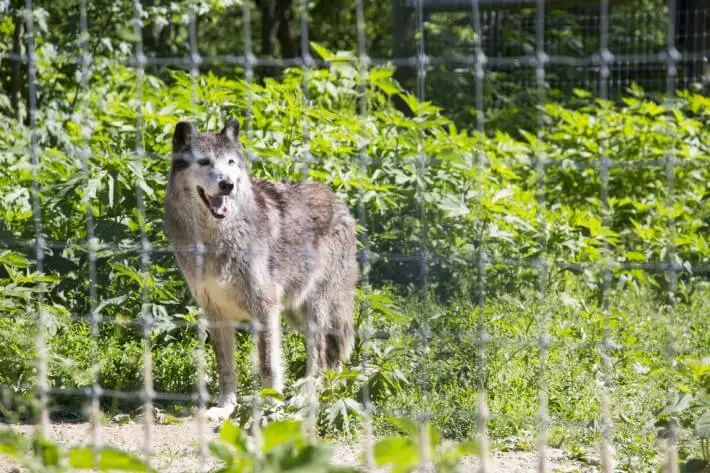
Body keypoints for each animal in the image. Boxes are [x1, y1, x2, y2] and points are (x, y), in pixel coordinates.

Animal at [164, 120, 358, 418]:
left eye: (230, 162)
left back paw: (303, 398)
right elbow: (225, 368)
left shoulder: (265, 309)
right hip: (295, 313)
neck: (216, 240)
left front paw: (271, 407)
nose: (228, 184)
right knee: (332, 359)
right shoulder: (216, 313)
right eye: (205, 161)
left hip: (316, 308)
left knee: (321, 356)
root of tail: (338, 200)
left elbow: (268, 365)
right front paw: (225, 408)